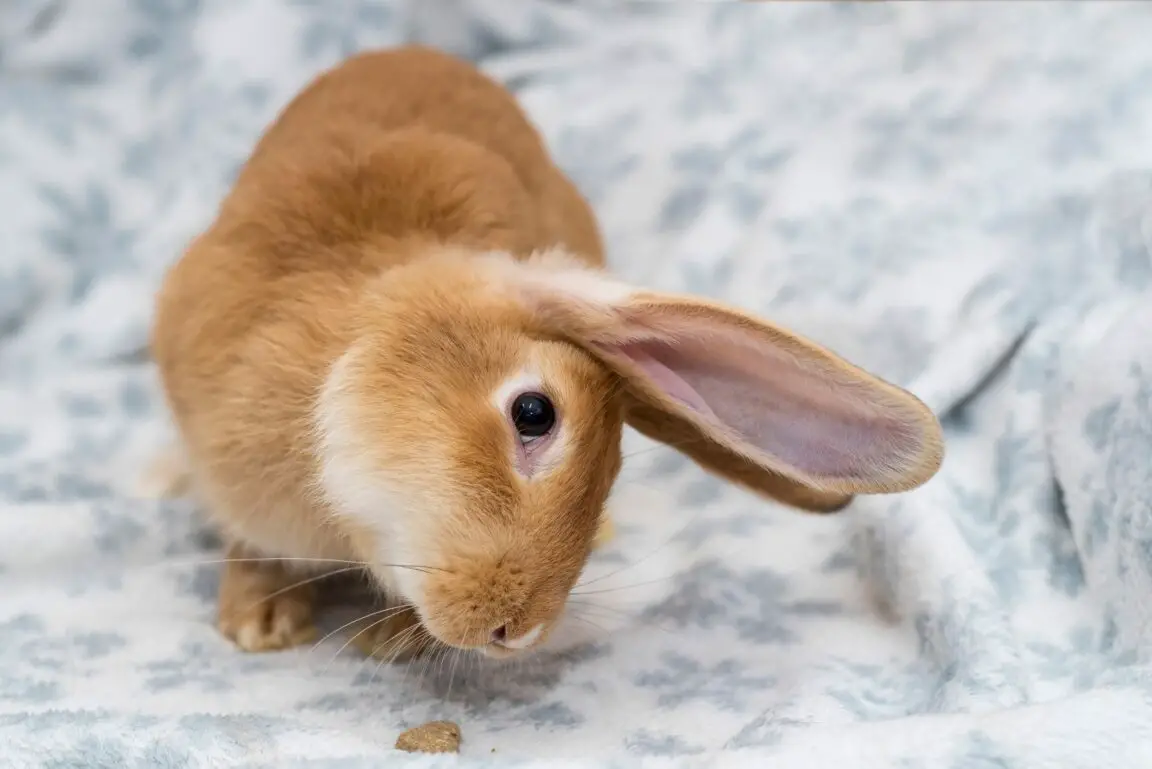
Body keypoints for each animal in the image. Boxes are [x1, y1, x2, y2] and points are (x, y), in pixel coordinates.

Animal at [150, 46, 944, 660]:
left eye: (615, 467)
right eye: (534, 413)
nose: (518, 631)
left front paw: (393, 638)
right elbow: (247, 542)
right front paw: (259, 622)